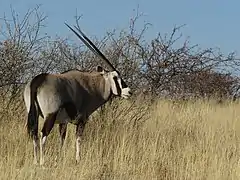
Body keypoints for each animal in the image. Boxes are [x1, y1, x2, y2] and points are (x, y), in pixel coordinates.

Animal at [23, 23, 132, 165]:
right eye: (115, 77)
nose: (128, 91)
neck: (90, 86)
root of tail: (37, 81)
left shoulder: (63, 123)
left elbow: (62, 140)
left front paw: (60, 158)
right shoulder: (81, 120)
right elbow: (78, 139)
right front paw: (77, 159)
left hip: (34, 114)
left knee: (34, 134)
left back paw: (35, 161)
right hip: (50, 116)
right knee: (43, 134)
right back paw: (42, 162)